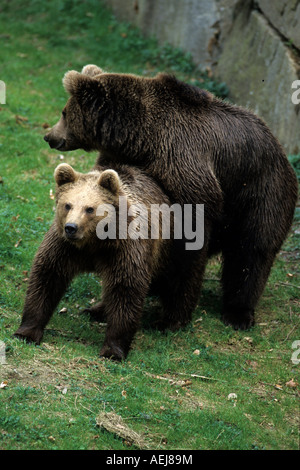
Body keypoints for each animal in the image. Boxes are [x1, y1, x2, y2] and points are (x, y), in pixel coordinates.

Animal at [14, 163, 206, 358]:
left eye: (89, 208)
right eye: (67, 205)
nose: (71, 227)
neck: (94, 244)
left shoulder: (125, 250)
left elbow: (125, 291)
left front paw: (113, 350)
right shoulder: (64, 248)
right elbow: (47, 277)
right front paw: (27, 332)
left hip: (173, 246)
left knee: (180, 277)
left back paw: (170, 321)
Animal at [43, 64, 298, 330]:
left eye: (64, 112)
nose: (49, 137)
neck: (139, 139)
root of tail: (281, 151)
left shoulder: (185, 166)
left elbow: (190, 243)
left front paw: (172, 317)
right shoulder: (121, 161)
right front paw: (99, 307)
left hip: (261, 192)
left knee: (252, 251)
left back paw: (238, 312)